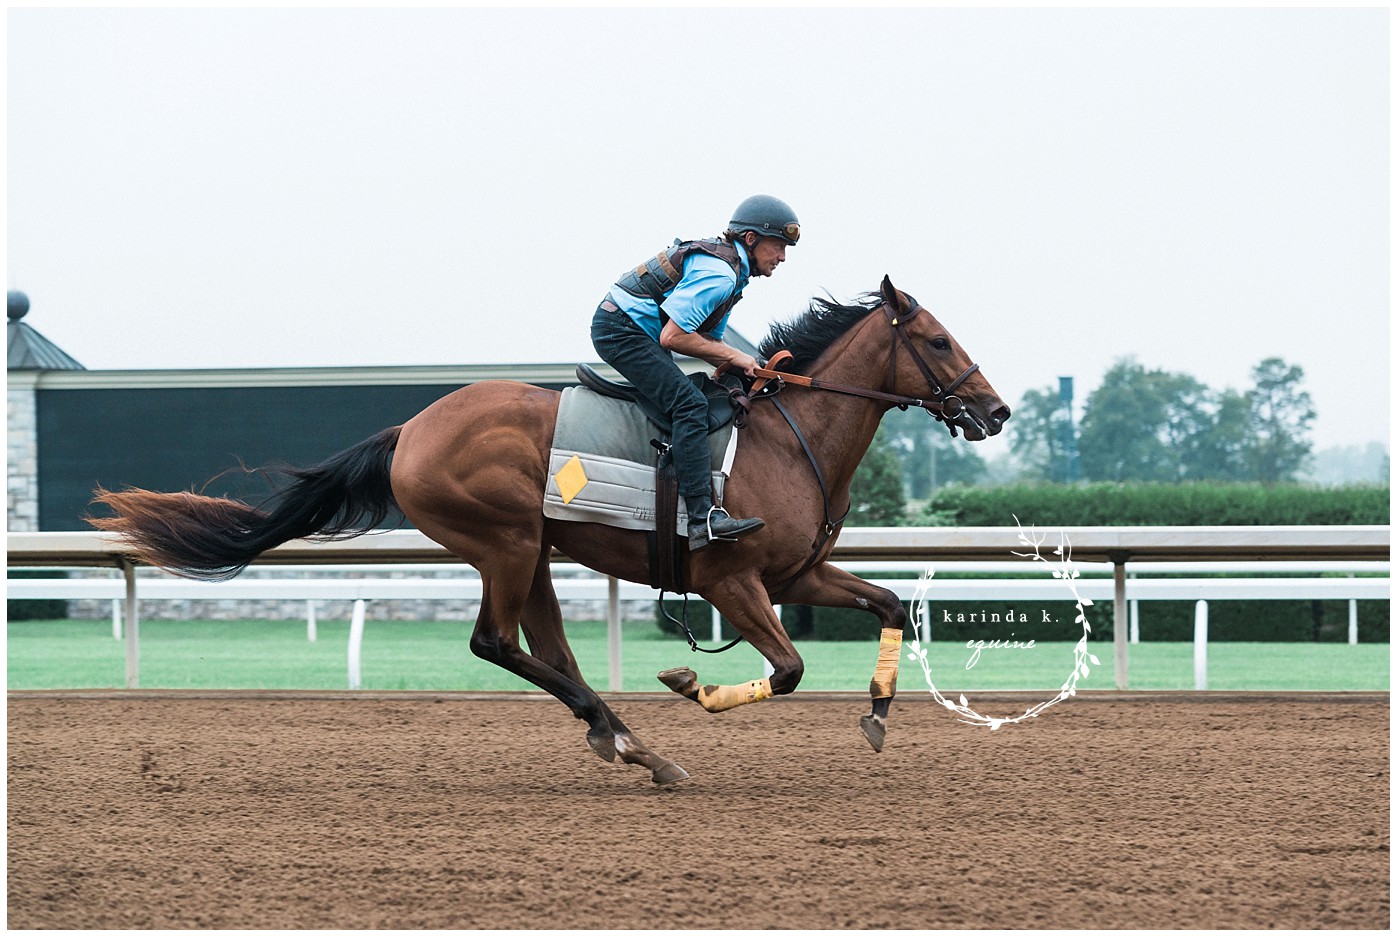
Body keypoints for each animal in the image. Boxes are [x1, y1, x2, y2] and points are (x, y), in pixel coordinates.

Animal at [89, 276, 1010, 785]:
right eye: (936, 339)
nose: (996, 411)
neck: (789, 438)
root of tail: (410, 429)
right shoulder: (728, 578)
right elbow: (786, 669)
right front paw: (691, 682)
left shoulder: (795, 575)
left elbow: (886, 603)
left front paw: (878, 712)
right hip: (505, 541)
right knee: (494, 643)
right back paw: (628, 734)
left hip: (532, 550)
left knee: (548, 649)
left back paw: (629, 741)